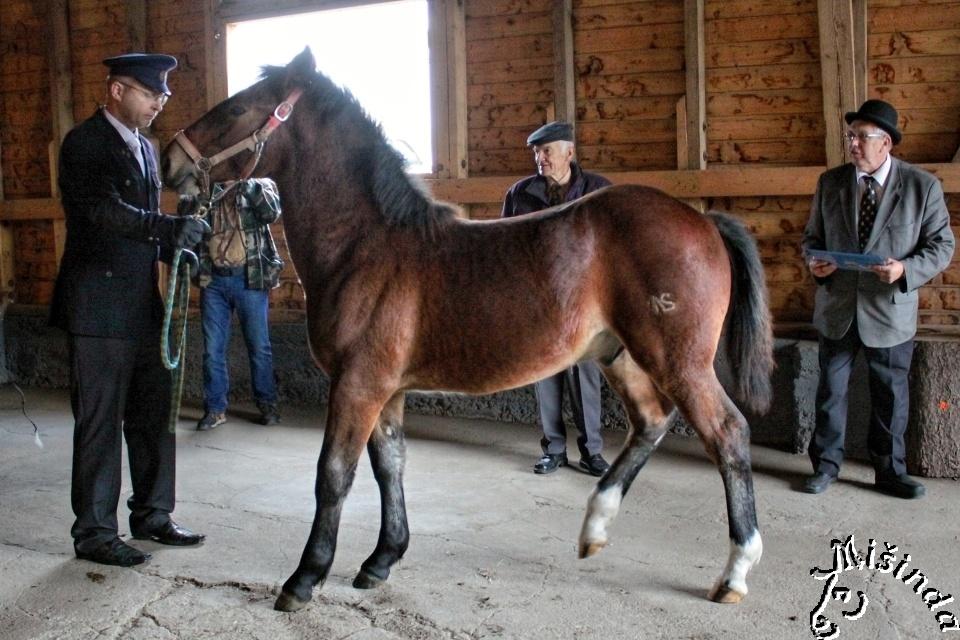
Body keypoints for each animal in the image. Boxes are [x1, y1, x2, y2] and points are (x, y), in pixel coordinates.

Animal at [161, 47, 776, 612]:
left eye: (236, 108)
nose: (170, 160)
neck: (366, 245)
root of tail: (703, 220)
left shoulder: (358, 383)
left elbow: (334, 473)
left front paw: (304, 578)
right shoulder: (387, 389)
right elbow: (390, 465)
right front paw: (381, 560)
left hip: (678, 360)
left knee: (727, 433)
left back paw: (735, 573)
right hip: (620, 355)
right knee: (651, 422)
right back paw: (593, 530)